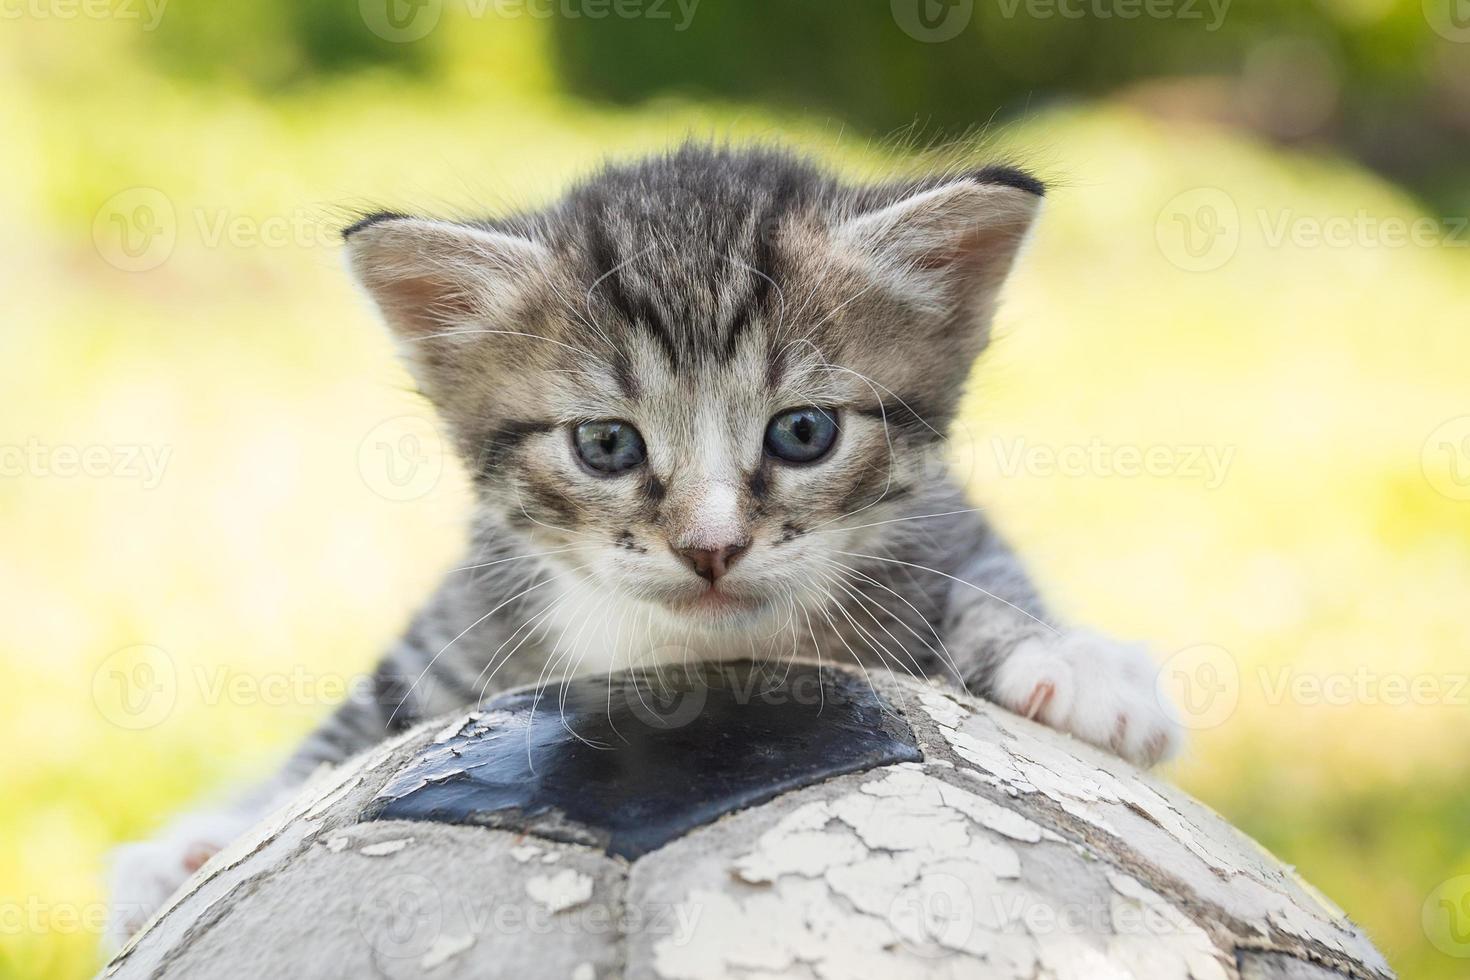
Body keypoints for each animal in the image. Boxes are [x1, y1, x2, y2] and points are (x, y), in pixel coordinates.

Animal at [103, 141, 1181, 946]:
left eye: (803, 432)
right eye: (608, 444)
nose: (711, 546)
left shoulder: (940, 520)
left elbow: (984, 573)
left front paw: (1079, 664)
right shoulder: (466, 612)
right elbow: (356, 722)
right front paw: (203, 845)